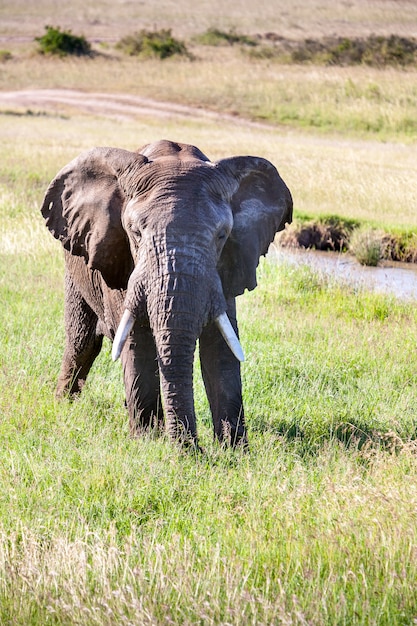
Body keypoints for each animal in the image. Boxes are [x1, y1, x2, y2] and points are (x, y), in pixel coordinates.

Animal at [40, 139, 290, 446]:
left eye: (221, 235)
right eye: (135, 233)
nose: (193, 450)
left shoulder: (226, 266)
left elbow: (221, 345)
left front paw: (234, 449)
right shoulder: (124, 263)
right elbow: (137, 341)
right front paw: (146, 442)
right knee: (82, 342)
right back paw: (64, 405)